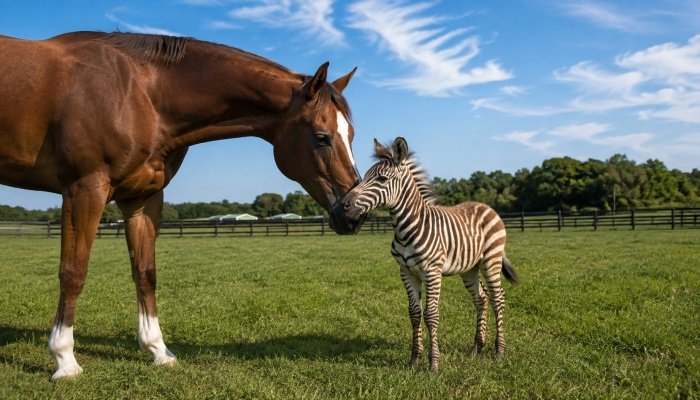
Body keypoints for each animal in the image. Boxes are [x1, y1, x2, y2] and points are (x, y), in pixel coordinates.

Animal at [0, 31, 364, 380]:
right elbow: (73, 272)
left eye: (351, 135)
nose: (354, 214)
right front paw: (64, 360)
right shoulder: (84, 189)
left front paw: (158, 350)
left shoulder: (142, 198)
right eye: (321, 137)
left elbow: (145, 272)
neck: (138, 93)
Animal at [343, 137, 519, 373]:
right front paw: (414, 359)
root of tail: (485, 206)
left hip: (491, 260)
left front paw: (434, 364)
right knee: (481, 298)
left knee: (498, 298)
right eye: (365, 177)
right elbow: (414, 313)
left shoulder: (431, 271)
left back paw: (499, 351)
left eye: (381, 179)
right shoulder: (406, 272)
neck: (406, 230)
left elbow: (431, 315)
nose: (344, 205)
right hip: (469, 268)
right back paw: (476, 348)